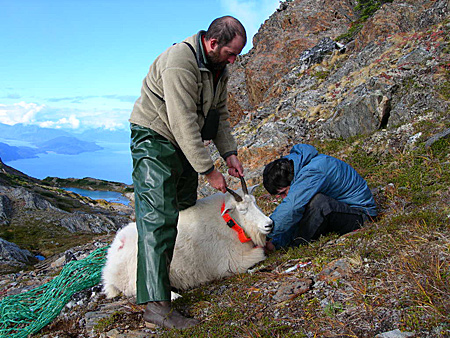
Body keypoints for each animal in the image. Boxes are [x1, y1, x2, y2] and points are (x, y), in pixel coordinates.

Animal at [101, 178, 272, 298]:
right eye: (242, 210)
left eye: (255, 202)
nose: (269, 224)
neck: (229, 222)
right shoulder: (230, 262)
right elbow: (261, 252)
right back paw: (173, 295)